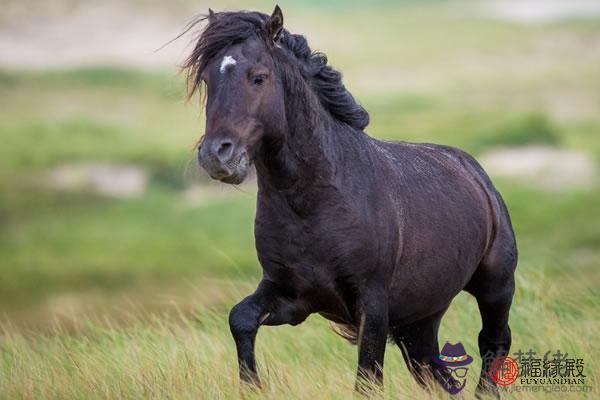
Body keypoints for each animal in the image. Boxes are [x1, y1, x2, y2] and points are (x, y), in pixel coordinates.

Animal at [183, 6, 516, 396]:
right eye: (208, 80)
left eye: (258, 77)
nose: (216, 155)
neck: (316, 201)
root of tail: (477, 174)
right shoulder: (292, 296)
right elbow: (241, 318)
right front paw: (253, 386)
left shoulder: (371, 302)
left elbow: (368, 377)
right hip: (421, 315)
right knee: (432, 369)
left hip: (495, 286)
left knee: (493, 341)